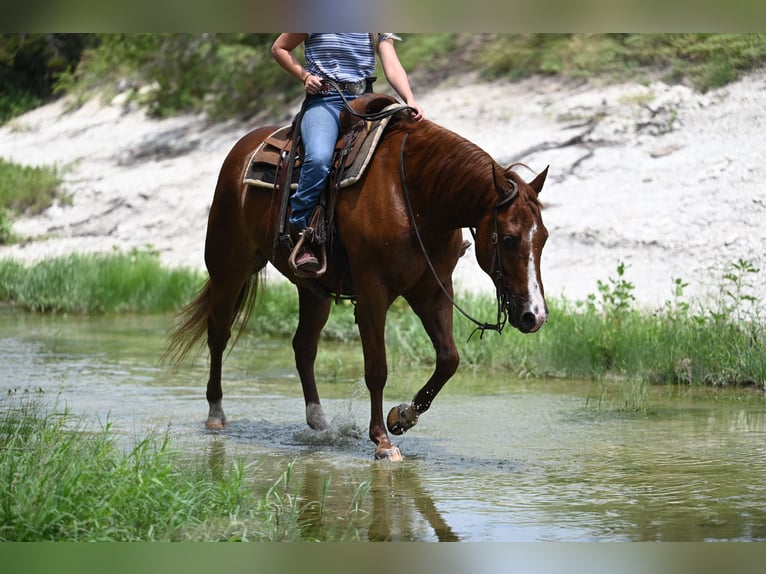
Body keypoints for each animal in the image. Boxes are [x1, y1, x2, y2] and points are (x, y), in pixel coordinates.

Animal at [166, 104, 549, 461]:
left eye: (543, 237)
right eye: (509, 239)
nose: (534, 315)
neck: (415, 197)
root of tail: (243, 148)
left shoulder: (432, 289)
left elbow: (448, 359)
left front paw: (402, 417)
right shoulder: (372, 294)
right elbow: (376, 368)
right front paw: (382, 441)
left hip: (313, 291)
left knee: (303, 346)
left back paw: (319, 420)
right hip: (229, 268)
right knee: (219, 333)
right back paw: (216, 413)